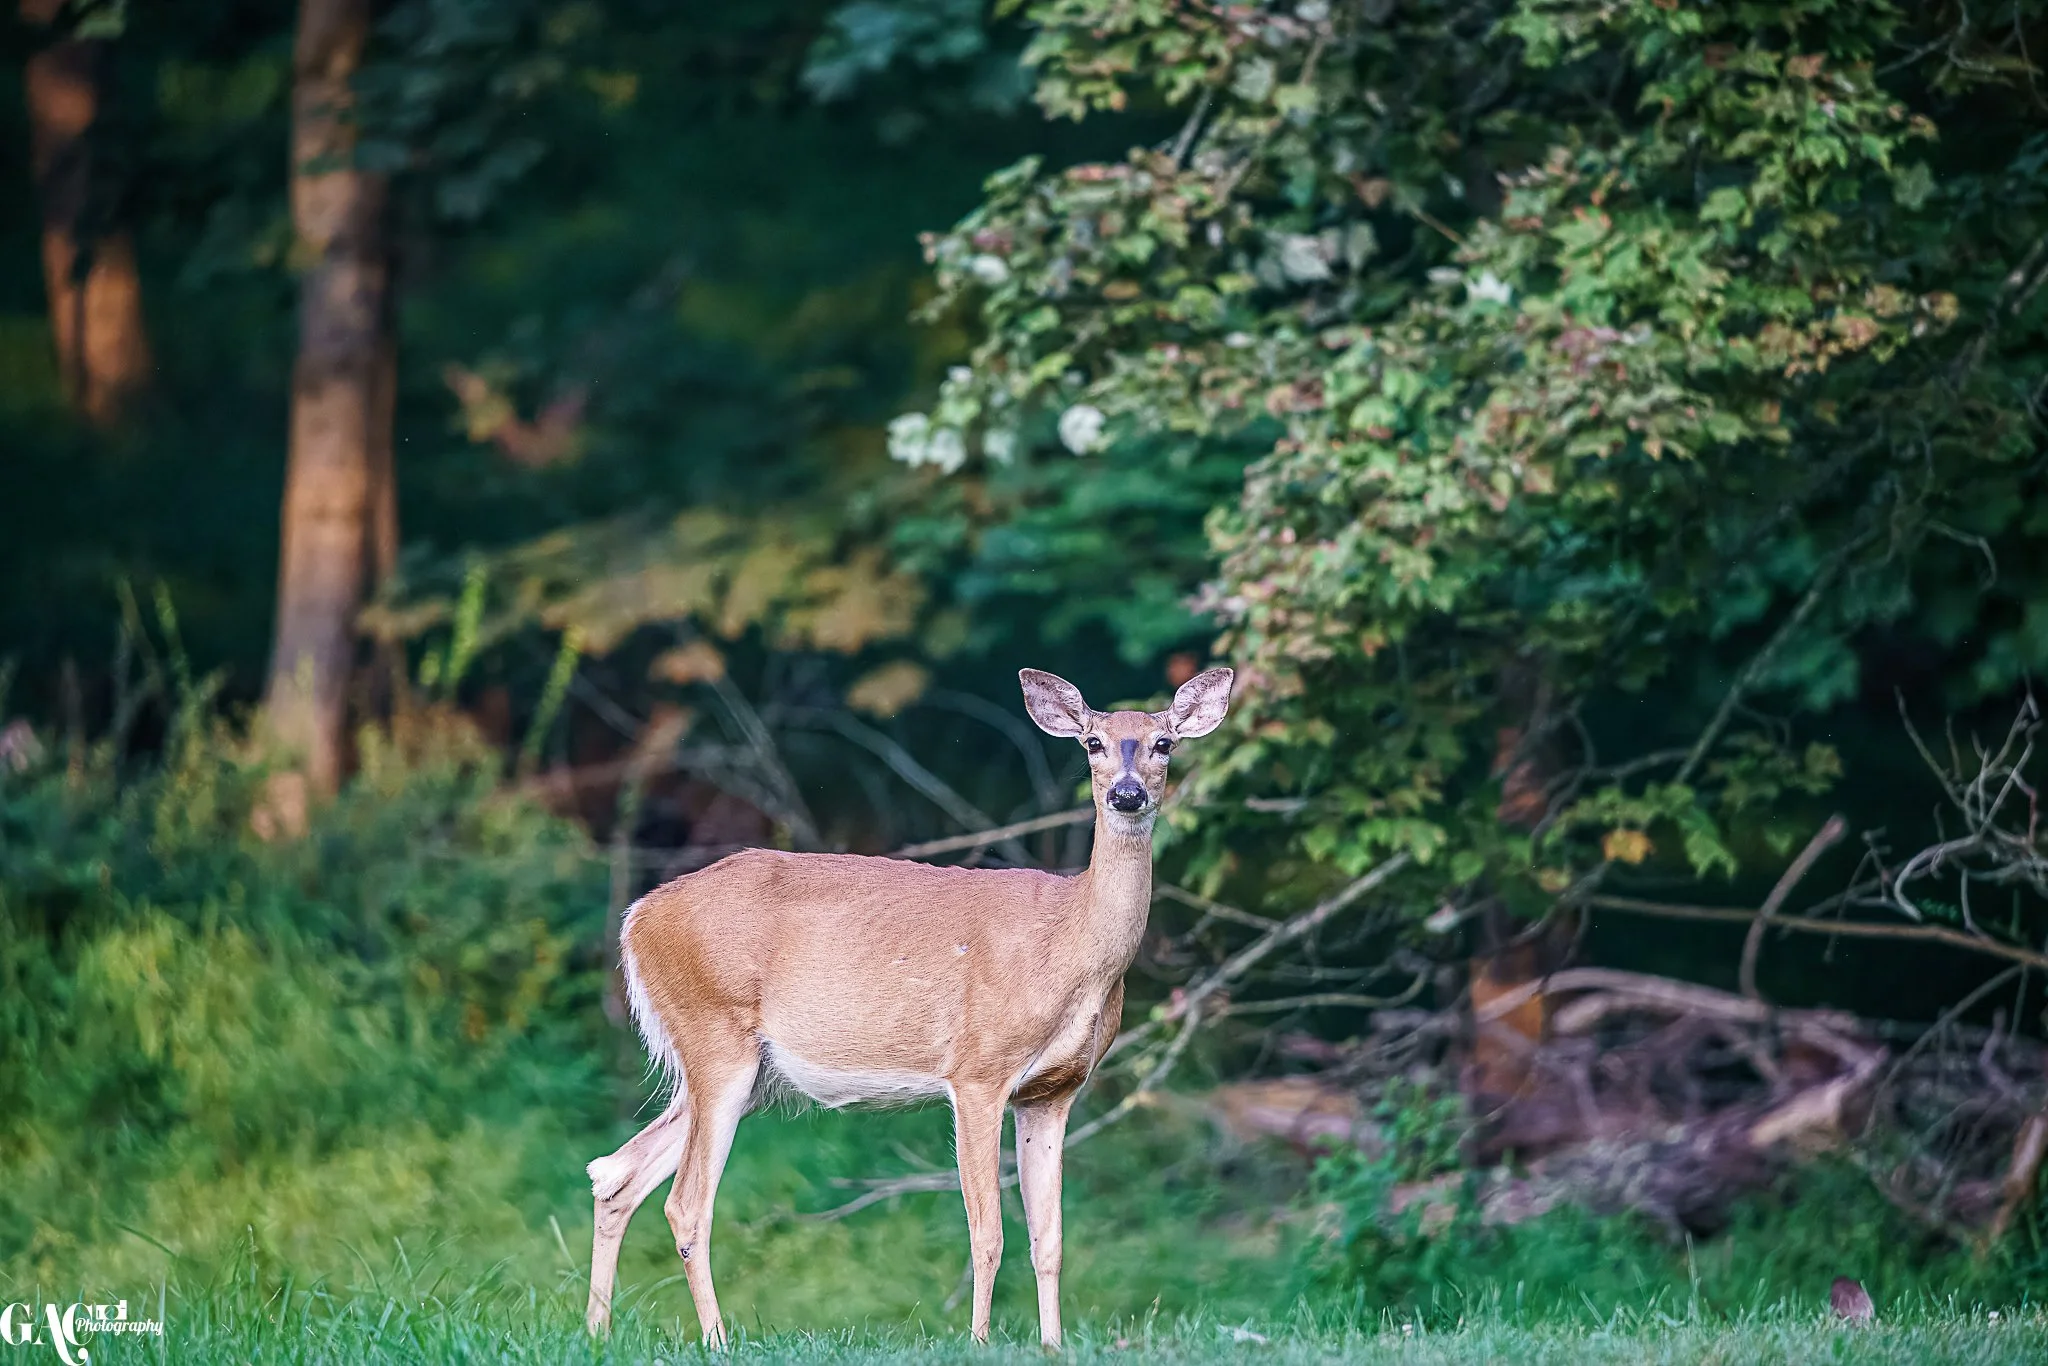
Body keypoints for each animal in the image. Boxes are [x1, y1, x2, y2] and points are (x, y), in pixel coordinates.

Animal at [582, 665, 1235, 1349]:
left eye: (1164, 742)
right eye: (1093, 743)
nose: (1127, 794)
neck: (1069, 945)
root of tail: (637, 919)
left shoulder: (1053, 1091)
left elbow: (1050, 1238)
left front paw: (1053, 1345)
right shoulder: (977, 1071)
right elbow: (988, 1233)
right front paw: (979, 1342)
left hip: (746, 1072)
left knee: (615, 1173)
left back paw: (596, 1331)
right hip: (714, 1034)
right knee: (685, 1203)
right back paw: (717, 1340)